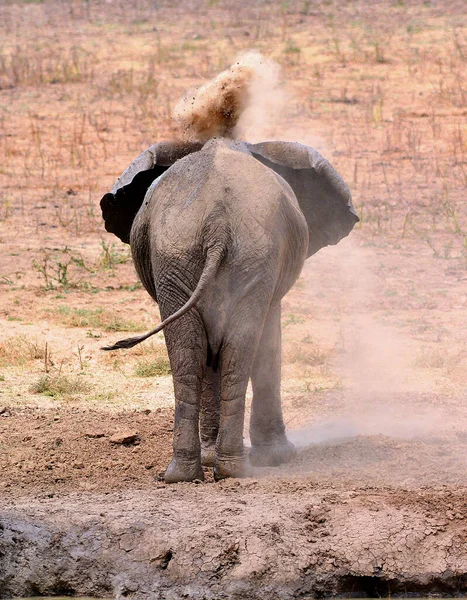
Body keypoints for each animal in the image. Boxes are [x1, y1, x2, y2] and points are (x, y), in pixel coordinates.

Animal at [101, 137, 358, 482]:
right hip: (220, 254)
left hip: (194, 254)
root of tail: (217, 222)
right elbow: (267, 342)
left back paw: (191, 473)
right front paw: (278, 457)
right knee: (232, 351)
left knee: (193, 354)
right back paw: (228, 468)